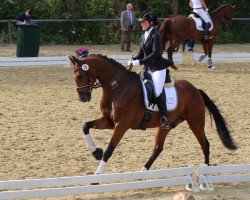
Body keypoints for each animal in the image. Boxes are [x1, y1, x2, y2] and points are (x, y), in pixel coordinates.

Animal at [69, 54, 236, 175]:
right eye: (74, 76)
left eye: (80, 76)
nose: (82, 98)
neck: (116, 87)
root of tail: (196, 90)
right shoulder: (108, 121)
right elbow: (85, 126)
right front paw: (96, 152)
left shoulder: (121, 125)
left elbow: (110, 149)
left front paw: (97, 175)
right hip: (166, 125)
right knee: (158, 147)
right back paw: (143, 171)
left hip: (195, 122)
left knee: (205, 144)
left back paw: (206, 171)